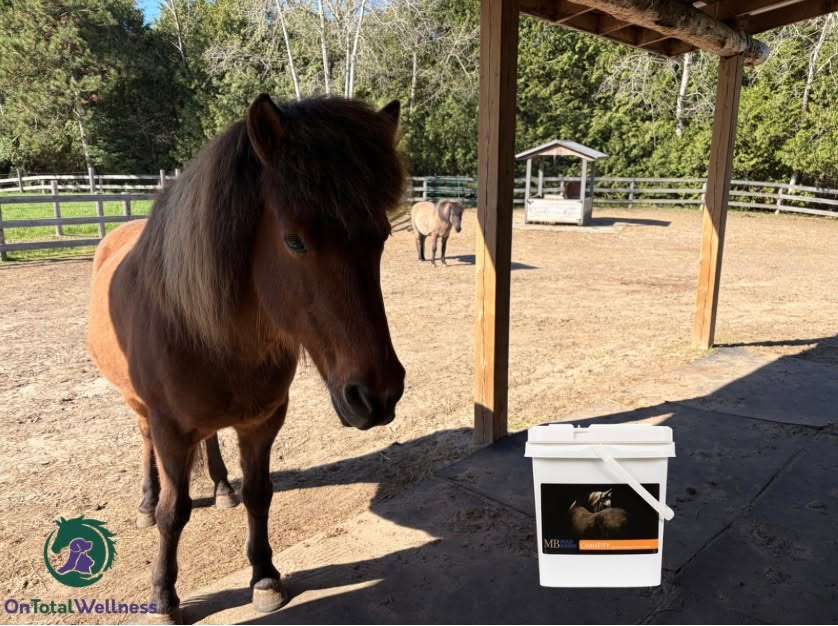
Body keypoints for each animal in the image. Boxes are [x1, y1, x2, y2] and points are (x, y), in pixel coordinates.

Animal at [87, 94, 406, 623]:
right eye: (294, 240)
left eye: (380, 236)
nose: (377, 395)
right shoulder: (170, 429)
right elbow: (173, 513)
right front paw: (164, 596)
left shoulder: (263, 421)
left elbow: (261, 494)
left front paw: (264, 576)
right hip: (138, 406)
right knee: (145, 444)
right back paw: (146, 500)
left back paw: (222, 487)